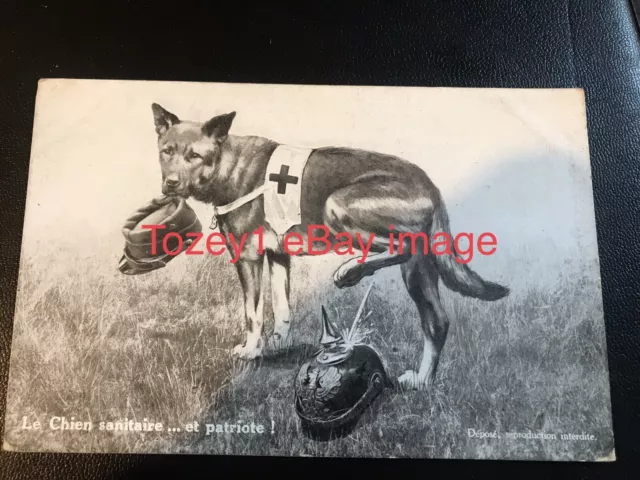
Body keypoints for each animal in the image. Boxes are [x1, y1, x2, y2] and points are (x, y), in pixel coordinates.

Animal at [151, 103, 510, 388]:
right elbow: (282, 310)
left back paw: (350, 271)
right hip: (418, 271)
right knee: (436, 321)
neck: (228, 164)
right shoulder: (279, 257)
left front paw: (252, 350)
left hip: (338, 206)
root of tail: (430, 184)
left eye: (194, 155)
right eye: (167, 151)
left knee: (399, 247)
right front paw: (279, 343)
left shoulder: (248, 257)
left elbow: (252, 313)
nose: (170, 184)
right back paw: (422, 381)